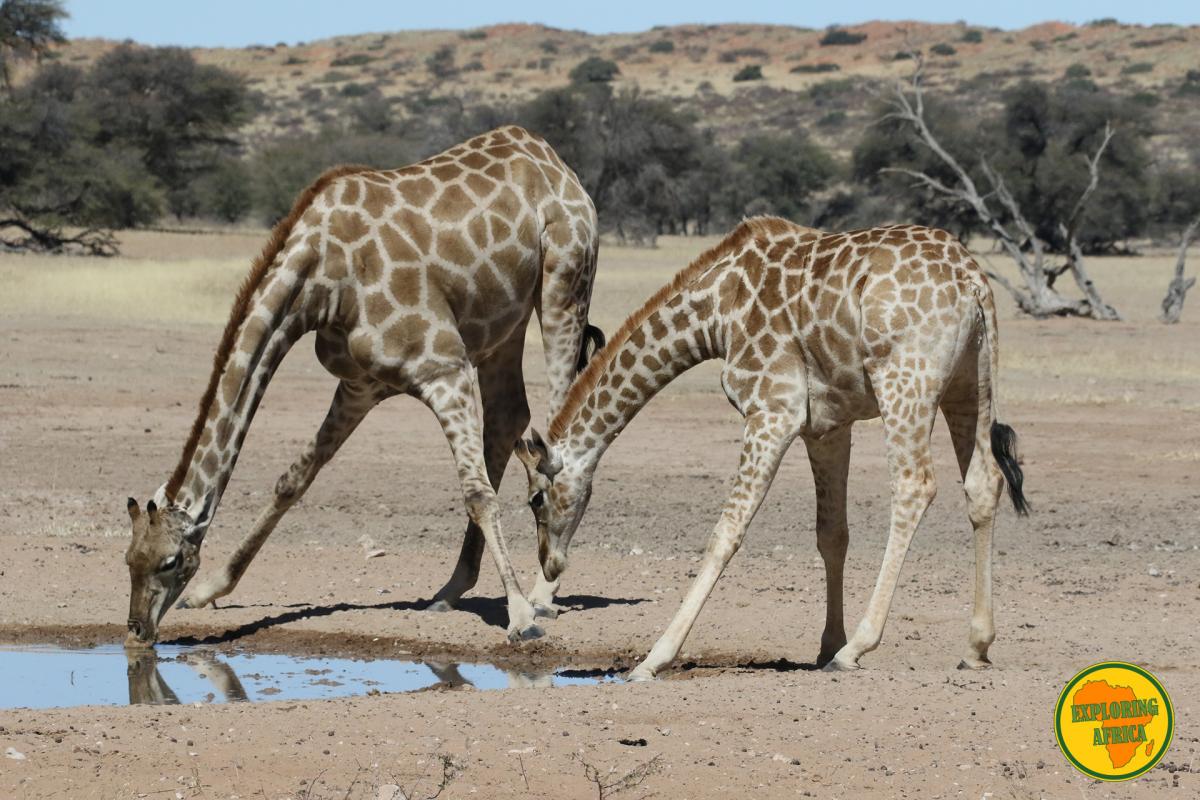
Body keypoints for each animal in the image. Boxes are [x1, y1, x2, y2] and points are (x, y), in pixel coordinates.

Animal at [120, 126, 600, 652]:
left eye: (168, 560)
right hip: (502, 325)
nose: (137, 630)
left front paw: (519, 616)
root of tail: (554, 162)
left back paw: (542, 594)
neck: (320, 280)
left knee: (558, 441)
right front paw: (210, 590)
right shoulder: (361, 384)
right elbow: (293, 480)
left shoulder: (442, 367)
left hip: (564, 283)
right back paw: (451, 589)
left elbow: (477, 495)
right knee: (509, 417)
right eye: (128, 559)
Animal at [511, 215, 1027, 681]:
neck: (716, 313)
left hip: (905, 380)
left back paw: (860, 647)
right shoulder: (827, 426)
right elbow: (831, 534)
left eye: (535, 498)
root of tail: (973, 282)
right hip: (969, 382)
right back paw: (976, 645)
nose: (550, 564)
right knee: (983, 484)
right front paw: (826, 643)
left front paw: (654, 657)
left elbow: (726, 532)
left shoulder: (772, 410)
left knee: (914, 486)